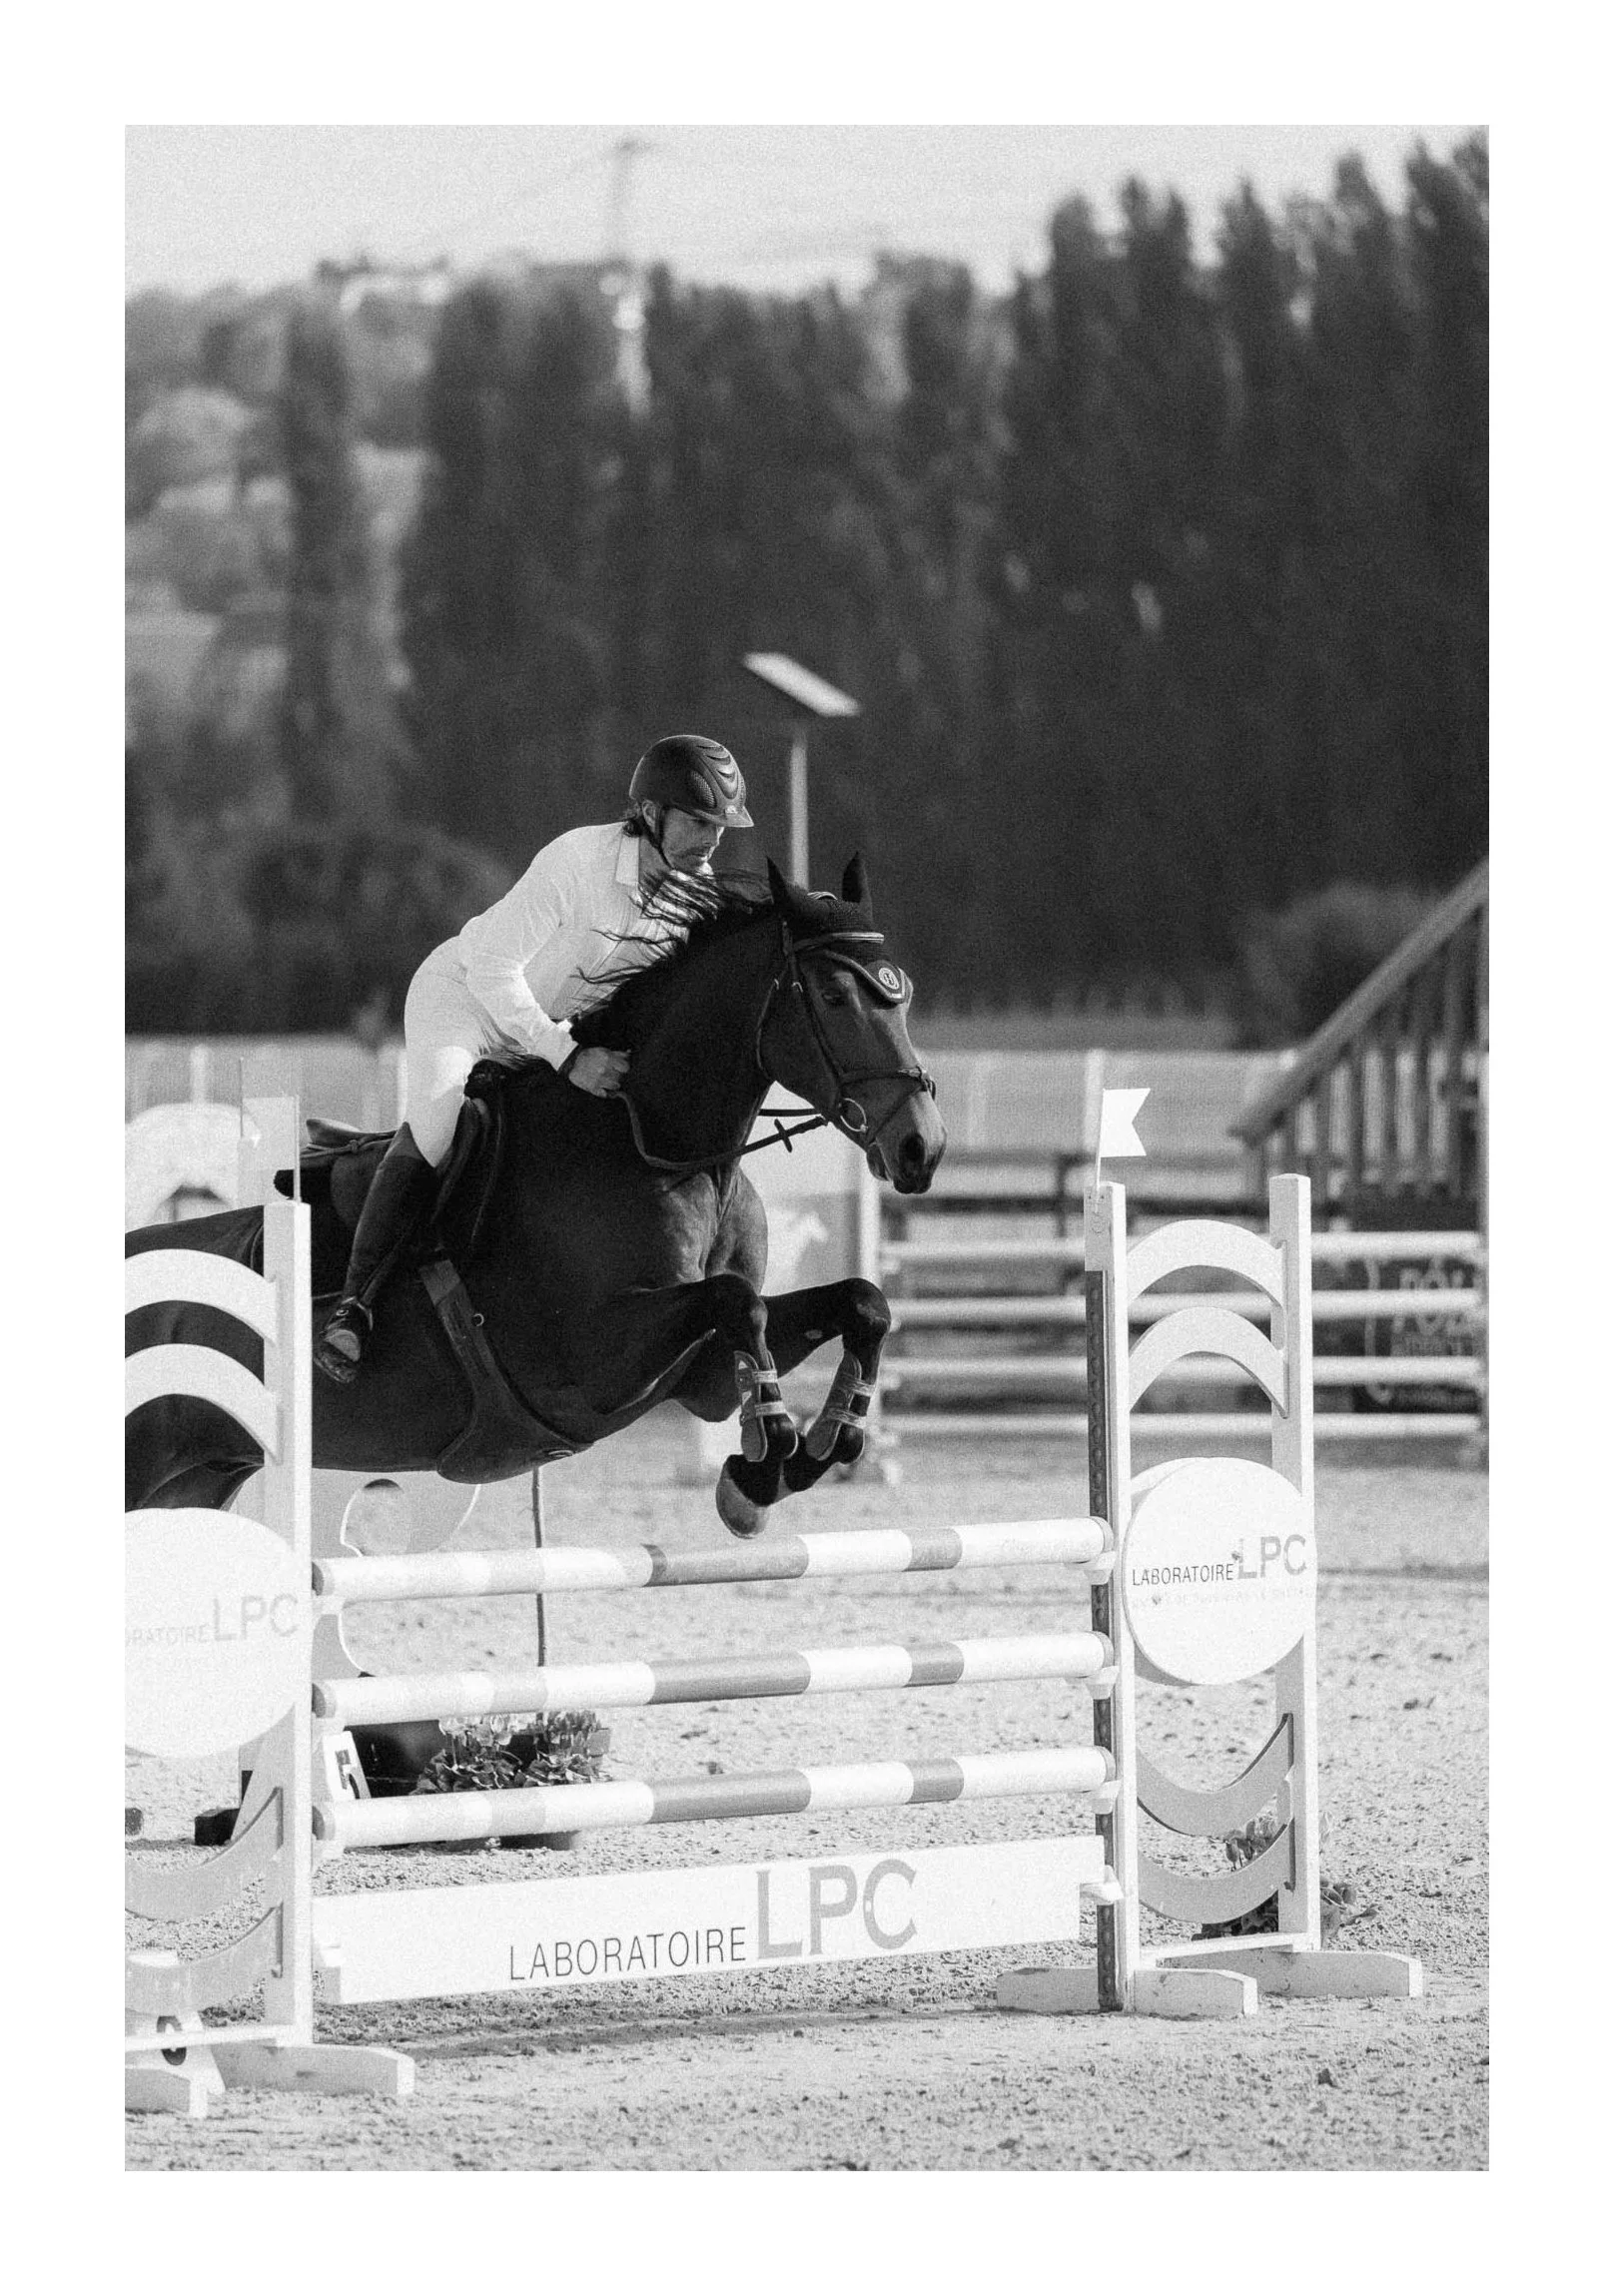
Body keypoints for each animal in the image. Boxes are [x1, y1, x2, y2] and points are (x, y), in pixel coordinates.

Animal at [126, 856, 947, 1547]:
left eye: (900, 990)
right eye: (835, 995)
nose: (922, 1147)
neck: (651, 1142)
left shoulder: (698, 1374)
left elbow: (859, 1303)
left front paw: (809, 1451)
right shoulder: (595, 1358)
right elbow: (739, 1303)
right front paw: (768, 1454)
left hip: (199, 1478)